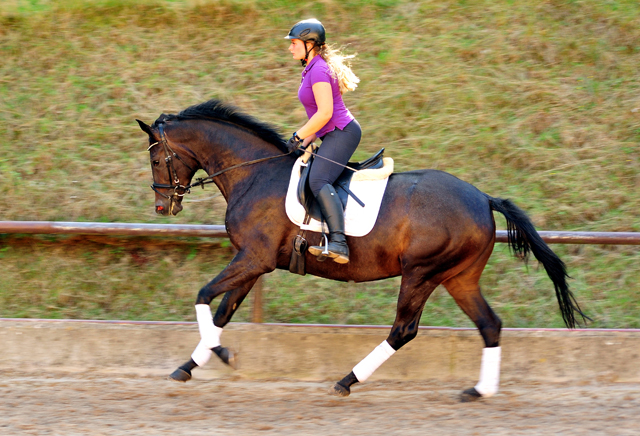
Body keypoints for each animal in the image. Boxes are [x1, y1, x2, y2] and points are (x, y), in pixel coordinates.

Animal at [138, 99, 588, 402]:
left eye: (157, 159)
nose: (162, 207)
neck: (255, 172)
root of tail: (482, 198)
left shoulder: (253, 258)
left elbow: (204, 297)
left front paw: (222, 354)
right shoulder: (255, 263)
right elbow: (222, 312)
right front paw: (188, 367)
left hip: (421, 273)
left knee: (404, 329)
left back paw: (346, 381)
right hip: (459, 277)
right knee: (489, 325)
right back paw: (479, 391)